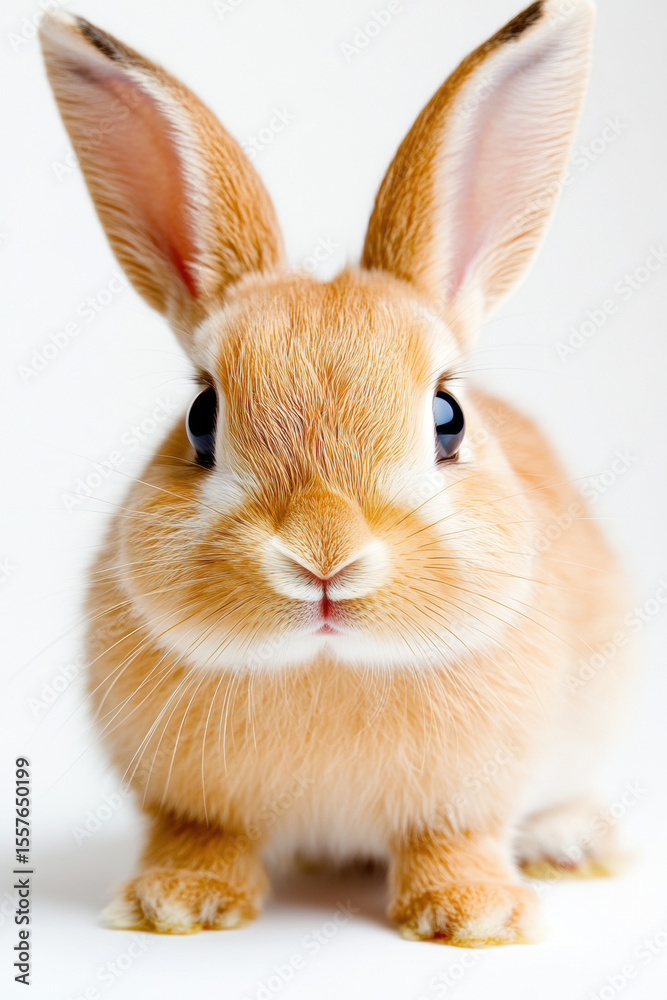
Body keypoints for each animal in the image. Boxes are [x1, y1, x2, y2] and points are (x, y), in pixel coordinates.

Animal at [40, 0, 630, 946]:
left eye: (447, 418)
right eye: (202, 420)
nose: (324, 558)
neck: (326, 665)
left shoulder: (468, 796)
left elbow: (454, 839)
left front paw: (474, 918)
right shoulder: (188, 799)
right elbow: (200, 833)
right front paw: (174, 904)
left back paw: (572, 847)